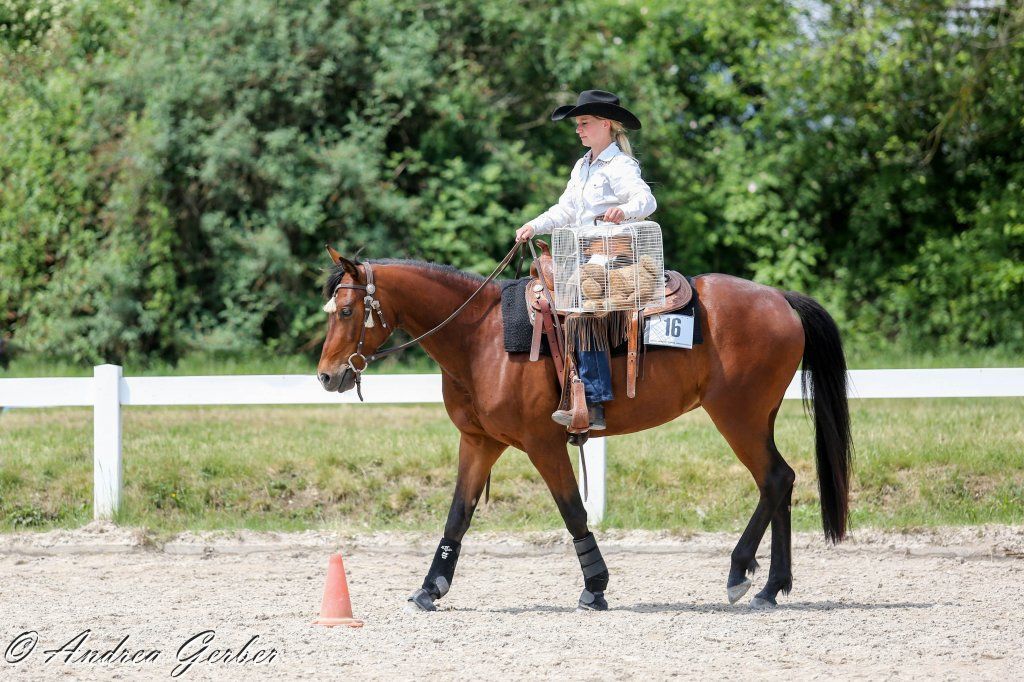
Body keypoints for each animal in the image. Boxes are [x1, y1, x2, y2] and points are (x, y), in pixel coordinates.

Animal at [316, 245, 852, 612]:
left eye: (346, 310)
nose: (326, 375)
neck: (481, 337)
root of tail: (780, 299)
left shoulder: (542, 444)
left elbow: (573, 511)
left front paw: (595, 588)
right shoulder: (480, 442)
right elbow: (457, 516)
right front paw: (430, 588)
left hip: (738, 417)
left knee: (775, 480)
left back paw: (742, 573)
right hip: (757, 418)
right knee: (781, 482)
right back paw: (771, 587)